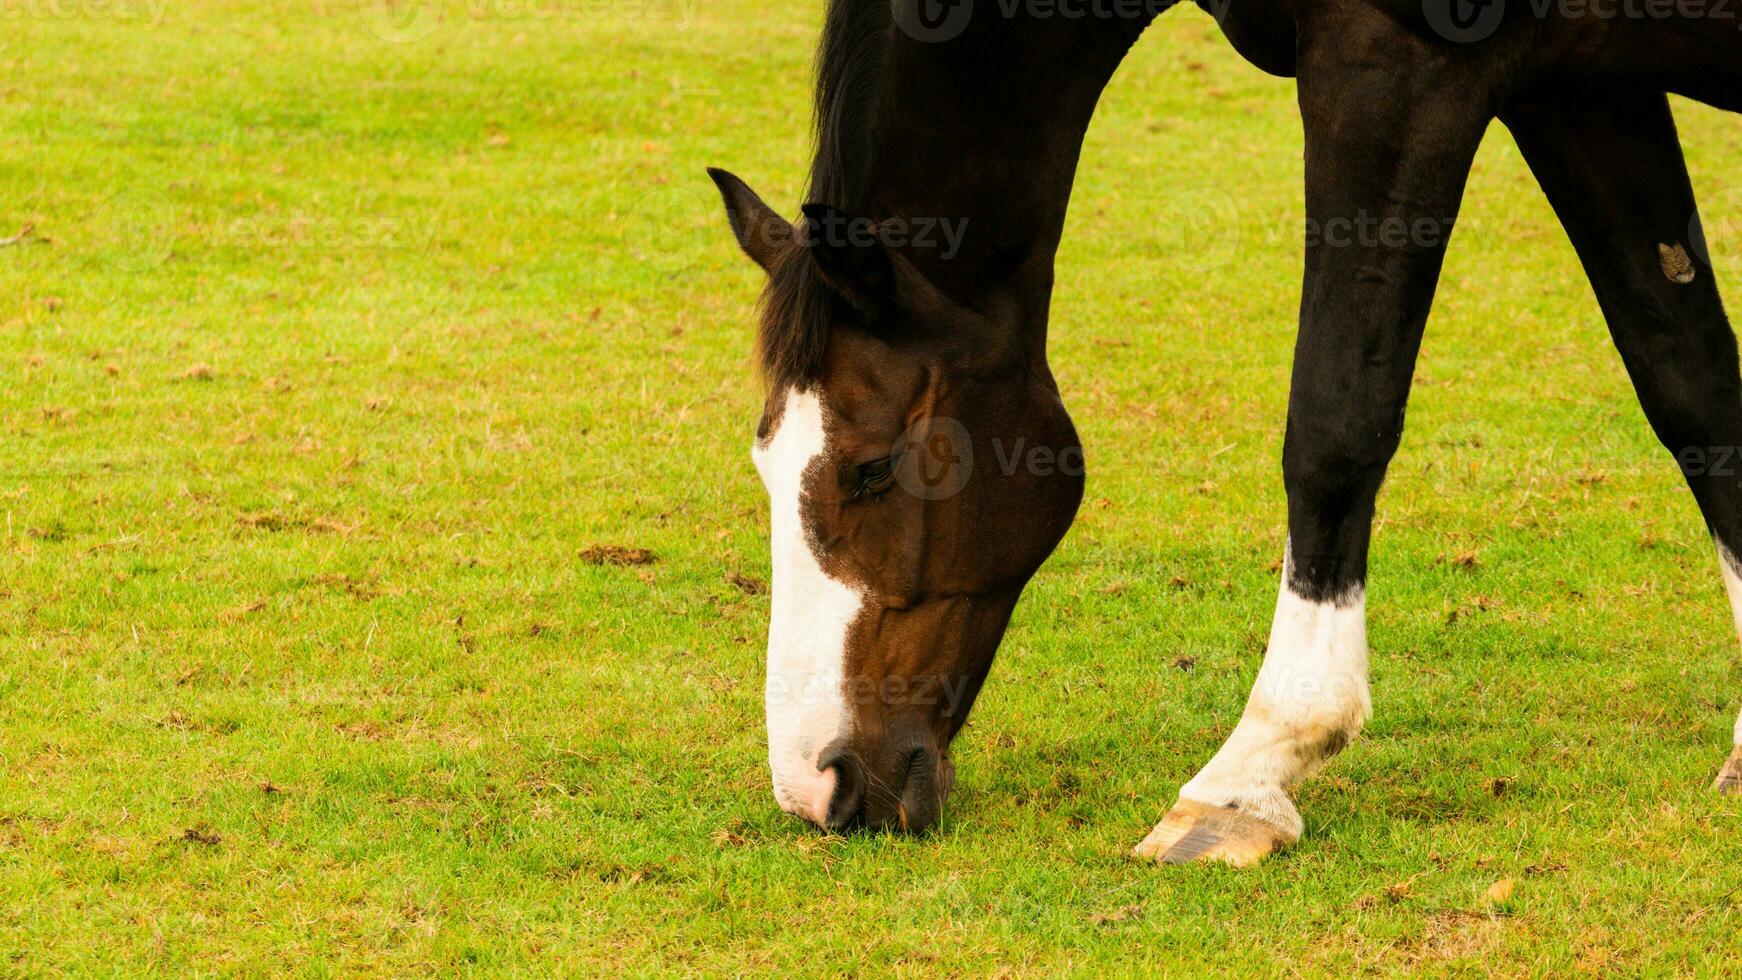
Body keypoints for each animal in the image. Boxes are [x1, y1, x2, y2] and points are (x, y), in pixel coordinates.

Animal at [703, 0, 1742, 863]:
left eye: (872, 468)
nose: (817, 787)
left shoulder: (1394, 63)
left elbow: (1334, 421)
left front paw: (1249, 774)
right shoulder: (1582, 87)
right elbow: (1689, 380)